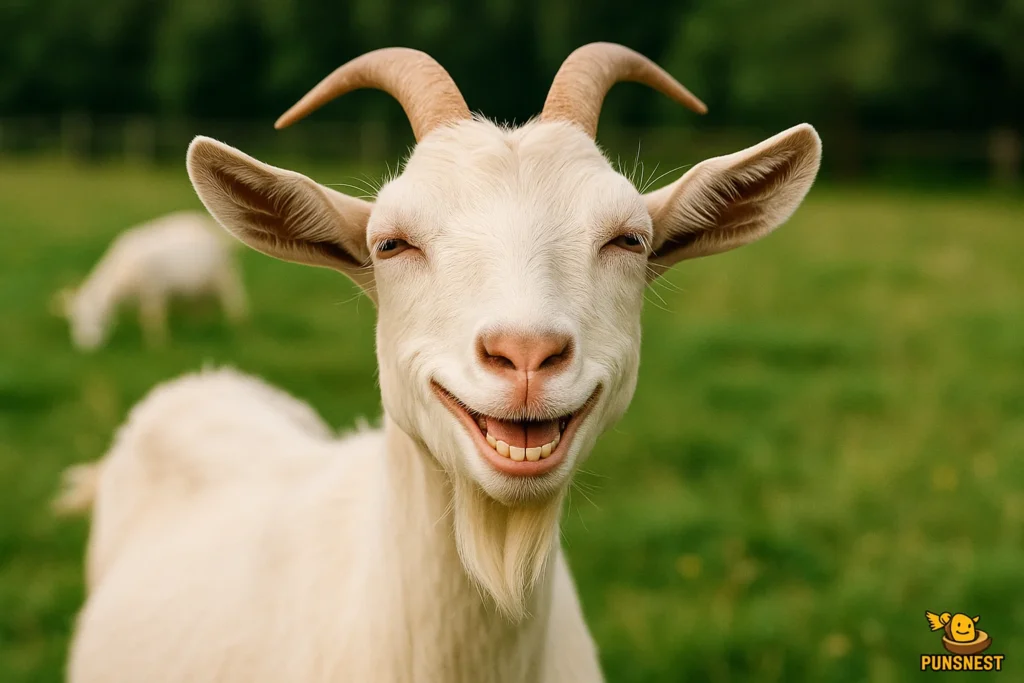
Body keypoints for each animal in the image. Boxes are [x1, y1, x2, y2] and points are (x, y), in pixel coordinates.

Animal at [53, 210, 248, 350]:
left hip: (225, 273)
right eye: (74, 320)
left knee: (234, 298)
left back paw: (238, 328)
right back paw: (198, 325)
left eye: (98, 316)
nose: (85, 347)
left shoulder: (153, 291)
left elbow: (152, 318)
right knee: (202, 304)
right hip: (205, 281)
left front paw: (157, 345)